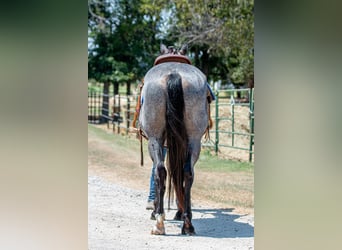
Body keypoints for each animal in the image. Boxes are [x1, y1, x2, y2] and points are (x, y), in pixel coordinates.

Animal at [138, 44, 210, 234]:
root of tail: (173, 74)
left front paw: (157, 211)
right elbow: (177, 173)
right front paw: (180, 211)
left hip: (154, 139)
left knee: (160, 171)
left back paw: (159, 221)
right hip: (194, 140)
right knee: (187, 172)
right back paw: (187, 224)